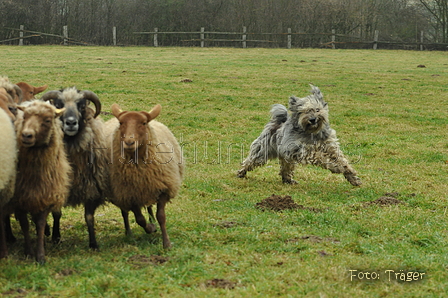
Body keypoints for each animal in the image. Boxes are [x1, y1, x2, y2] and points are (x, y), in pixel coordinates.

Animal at [10, 100, 71, 264]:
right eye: (25, 117)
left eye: (48, 120)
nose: (26, 135)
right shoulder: (19, 198)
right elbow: (24, 225)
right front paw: (29, 252)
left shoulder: (45, 194)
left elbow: (40, 224)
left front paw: (41, 255)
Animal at [41, 87, 110, 250]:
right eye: (58, 105)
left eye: (82, 105)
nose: (71, 123)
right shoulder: (58, 187)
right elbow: (56, 213)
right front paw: (56, 237)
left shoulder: (91, 187)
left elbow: (89, 217)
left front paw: (93, 243)